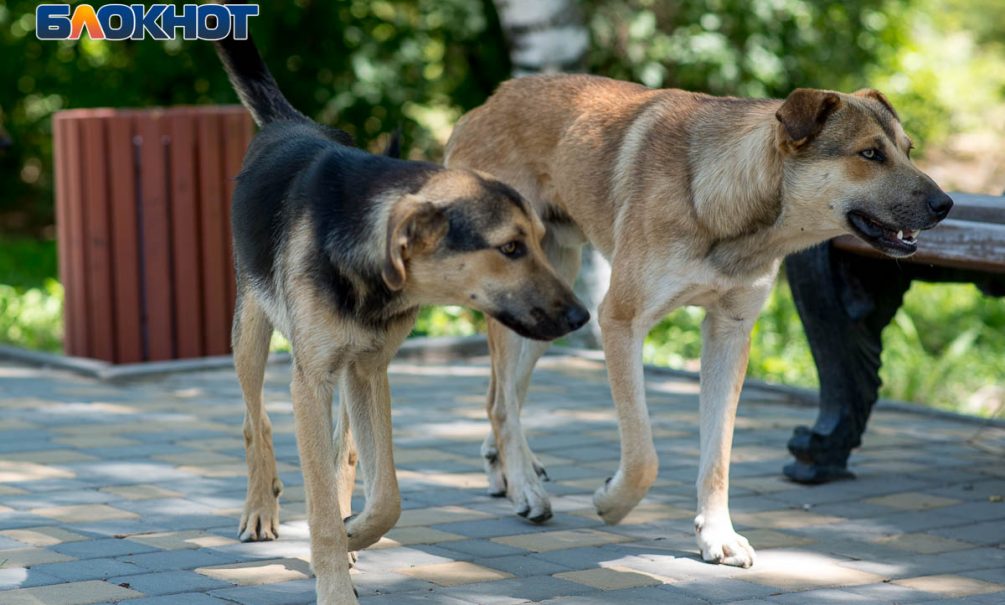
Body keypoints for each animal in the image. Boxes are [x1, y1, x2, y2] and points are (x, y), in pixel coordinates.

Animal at [215, 27, 586, 598]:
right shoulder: (311, 381)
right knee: (256, 423)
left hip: (347, 376)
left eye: (539, 244)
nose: (580, 318)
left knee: (343, 454)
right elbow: (318, 498)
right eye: (510, 248)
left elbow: (384, 493)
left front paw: (353, 534)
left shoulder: (369, 371)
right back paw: (260, 510)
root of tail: (290, 122)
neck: (368, 267)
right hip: (251, 336)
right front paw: (334, 585)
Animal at [444, 74, 952, 566]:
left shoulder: (729, 334)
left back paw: (506, 470)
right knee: (502, 403)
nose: (946, 204)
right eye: (870, 154)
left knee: (501, 395)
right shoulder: (620, 322)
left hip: (549, 304)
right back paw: (526, 488)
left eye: (907, 150)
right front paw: (611, 502)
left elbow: (718, 456)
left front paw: (717, 535)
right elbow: (643, 455)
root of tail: (485, 105)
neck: (723, 205)